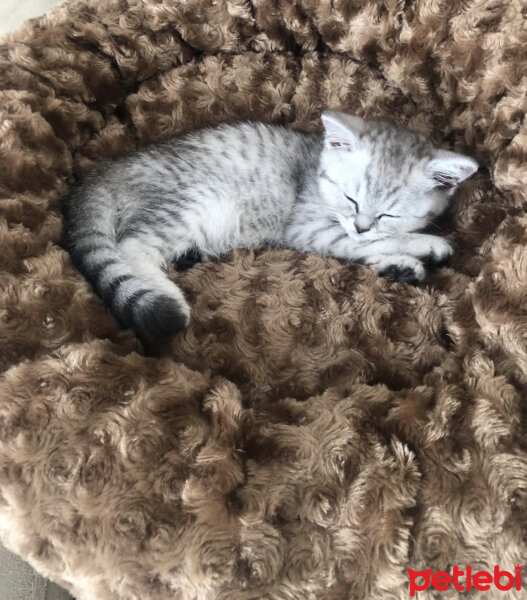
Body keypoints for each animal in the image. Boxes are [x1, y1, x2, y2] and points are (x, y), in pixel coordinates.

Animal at [62, 111, 478, 338]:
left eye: (388, 214)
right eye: (352, 200)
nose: (361, 224)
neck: (316, 170)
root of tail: (108, 170)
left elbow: (370, 245)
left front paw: (399, 263)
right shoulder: (307, 226)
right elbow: (360, 243)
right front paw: (423, 244)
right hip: (194, 203)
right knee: (131, 246)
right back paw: (168, 295)